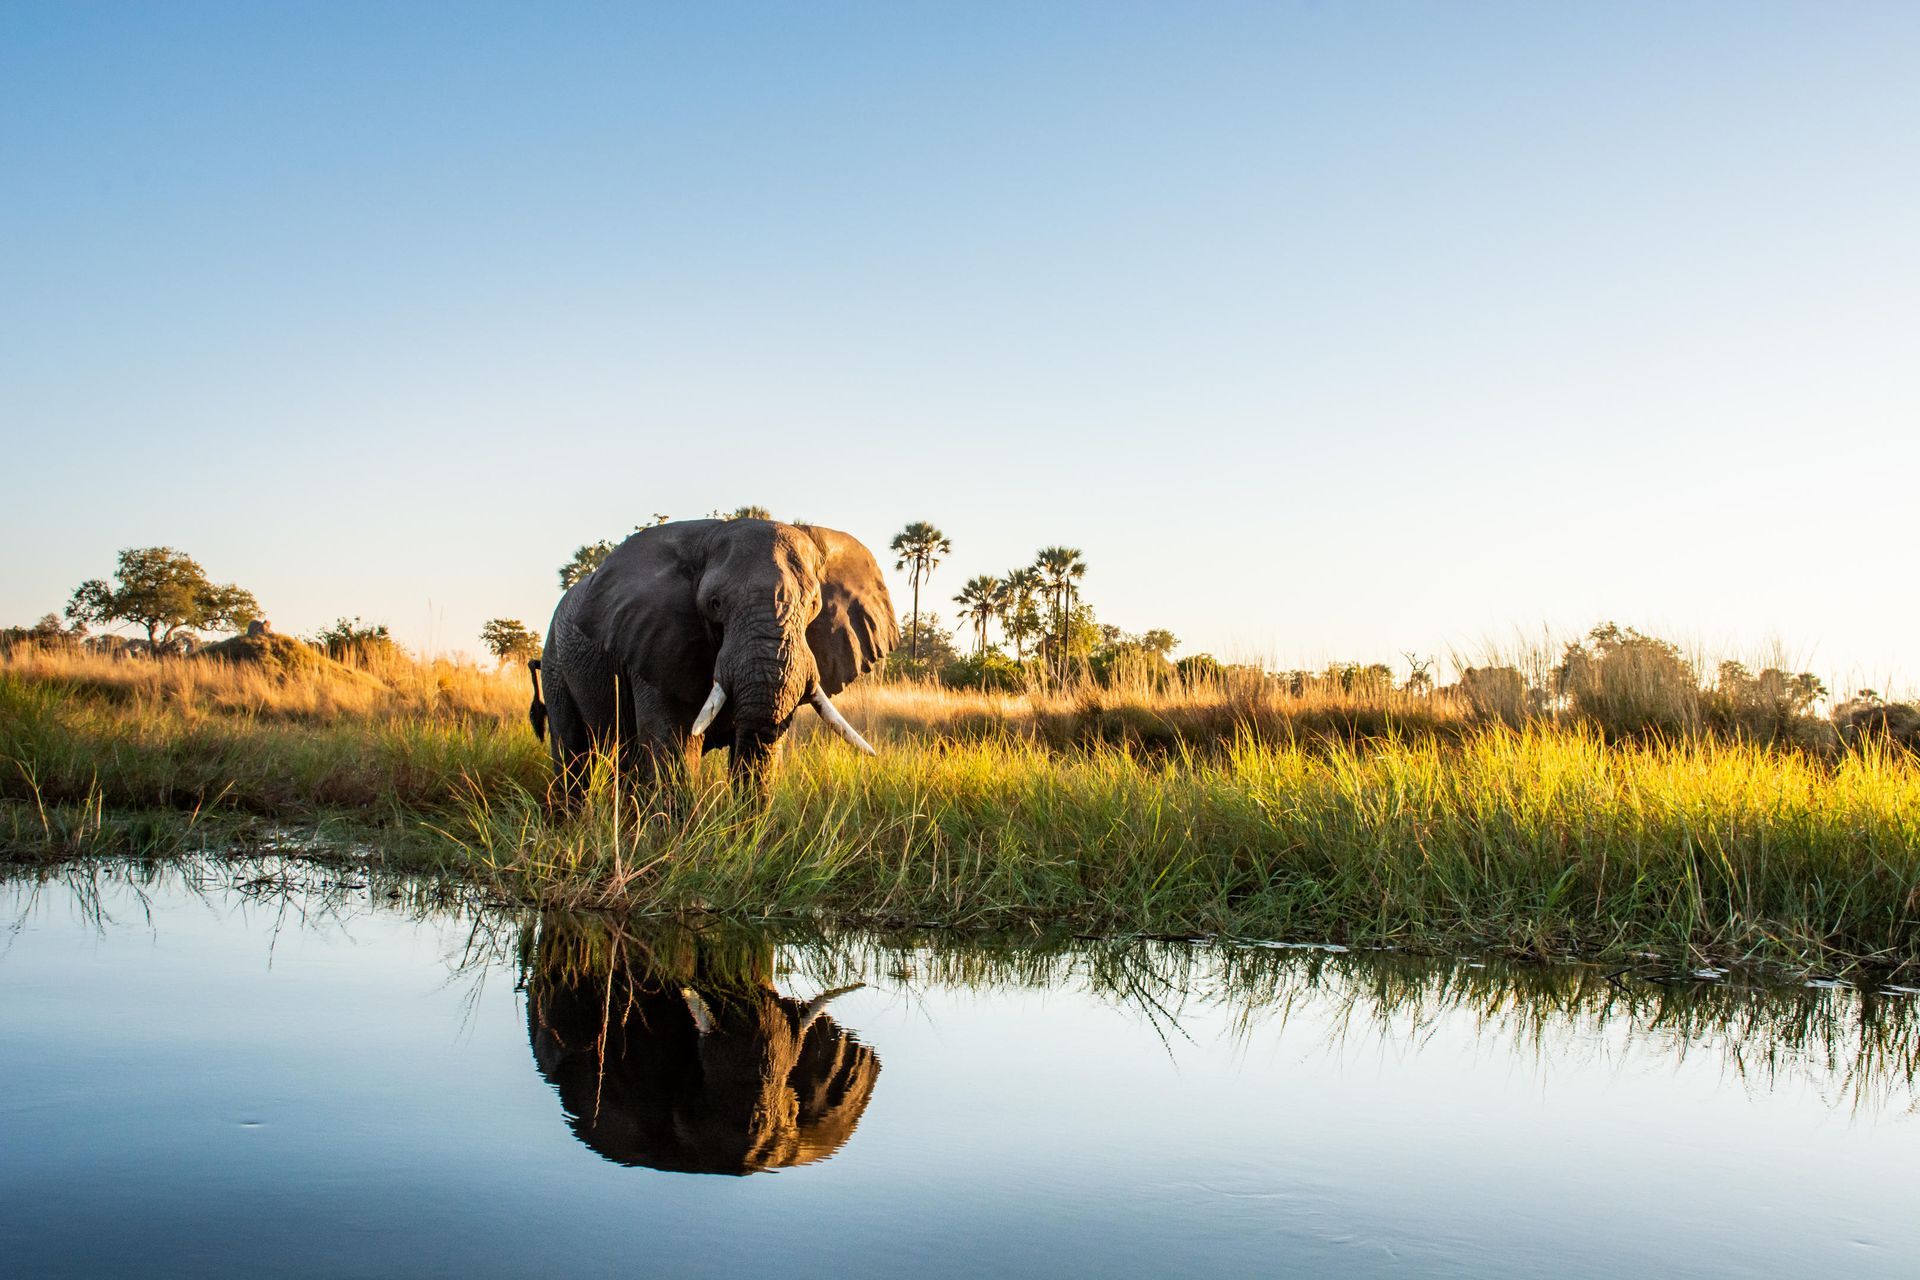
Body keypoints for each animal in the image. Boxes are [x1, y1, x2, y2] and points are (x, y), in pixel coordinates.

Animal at [529, 521, 894, 802]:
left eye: (814, 604)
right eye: (715, 604)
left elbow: (759, 755)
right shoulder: (655, 642)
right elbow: (674, 744)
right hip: (554, 660)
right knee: (572, 751)